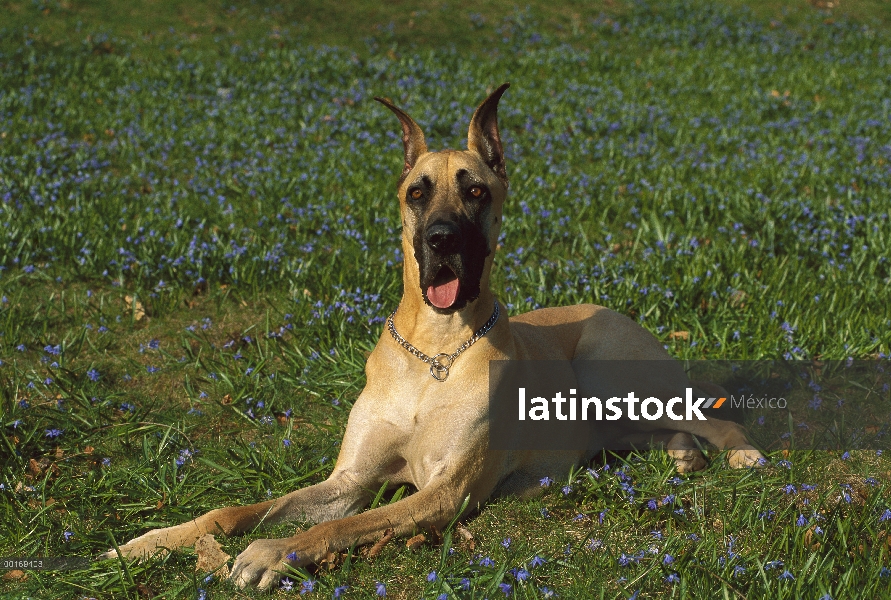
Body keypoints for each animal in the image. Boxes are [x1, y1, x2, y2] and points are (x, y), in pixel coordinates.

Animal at [99, 82, 768, 588]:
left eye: (475, 191)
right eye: (416, 193)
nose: (442, 240)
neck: (437, 350)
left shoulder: (444, 494)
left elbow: (335, 528)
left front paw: (269, 553)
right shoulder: (349, 481)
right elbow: (239, 510)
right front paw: (150, 542)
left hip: (611, 371)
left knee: (714, 417)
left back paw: (737, 453)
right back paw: (681, 454)